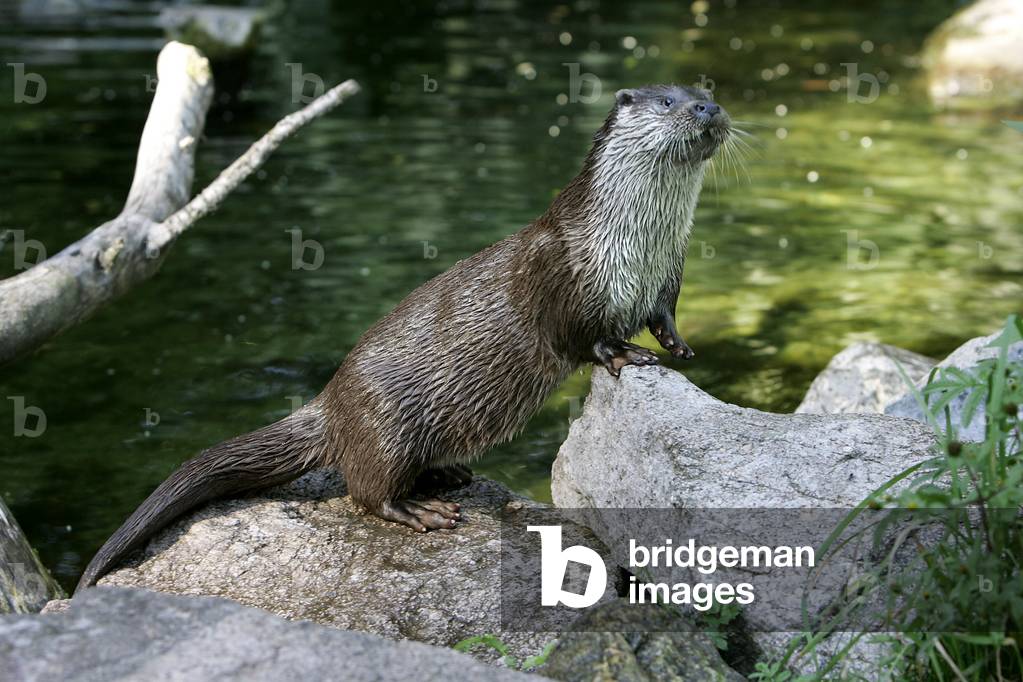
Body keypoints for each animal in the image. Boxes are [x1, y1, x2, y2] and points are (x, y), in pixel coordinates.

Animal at [76, 84, 731, 592]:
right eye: (670, 100)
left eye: (707, 92)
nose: (709, 109)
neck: (634, 244)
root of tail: (331, 401)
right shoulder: (563, 271)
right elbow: (581, 336)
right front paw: (624, 352)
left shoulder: (669, 274)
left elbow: (664, 316)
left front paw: (675, 348)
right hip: (385, 422)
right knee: (366, 492)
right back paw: (423, 508)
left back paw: (448, 475)